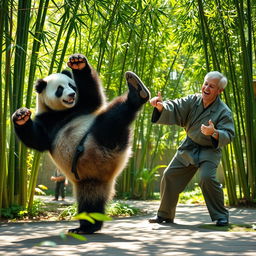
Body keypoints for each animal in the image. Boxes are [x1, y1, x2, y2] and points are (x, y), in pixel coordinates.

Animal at [12, 53, 150, 234]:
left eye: (72, 86)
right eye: (60, 89)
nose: (71, 95)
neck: (63, 112)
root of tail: (111, 169)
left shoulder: (83, 106)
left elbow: (94, 97)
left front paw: (78, 63)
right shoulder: (46, 122)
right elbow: (36, 139)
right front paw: (21, 116)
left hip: (97, 140)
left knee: (113, 116)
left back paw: (137, 92)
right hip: (89, 167)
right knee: (89, 201)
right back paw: (86, 226)